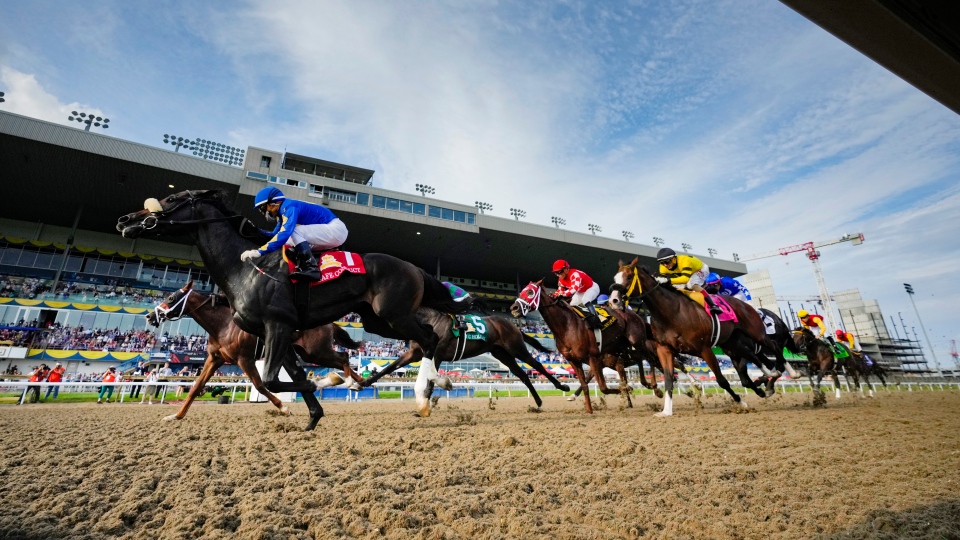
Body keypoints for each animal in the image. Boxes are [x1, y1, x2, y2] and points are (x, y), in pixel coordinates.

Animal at [146, 280, 360, 424]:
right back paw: (356, 382)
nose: (148, 316)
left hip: (315, 351)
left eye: (171, 298)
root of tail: (330, 322)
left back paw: (348, 381)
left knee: (343, 357)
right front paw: (176, 415)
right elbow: (196, 387)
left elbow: (259, 385)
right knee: (342, 361)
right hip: (310, 352)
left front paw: (284, 408)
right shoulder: (215, 358)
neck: (223, 325)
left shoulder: (244, 359)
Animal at [510, 278, 652, 414]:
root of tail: (636, 315)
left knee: (648, 357)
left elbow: (604, 387)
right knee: (641, 358)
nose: (514, 308)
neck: (567, 325)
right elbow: (585, 385)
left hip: (637, 342)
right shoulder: (575, 360)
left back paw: (651, 385)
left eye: (530, 292)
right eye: (521, 292)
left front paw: (628, 389)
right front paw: (589, 410)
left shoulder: (594, 357)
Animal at [612, 260, 776, 416]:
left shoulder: (705, 349)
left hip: (754, 333)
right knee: (750, 355)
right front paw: (666, 411)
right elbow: (669, 379)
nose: (614, 300)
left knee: (766, 349)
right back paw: (767, 382)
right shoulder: (664, 349)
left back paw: (775, 374)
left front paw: (741, 403)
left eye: (629, 276)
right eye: (615, 278)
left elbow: (722, 380)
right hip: (731, 342)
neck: (671, 313)